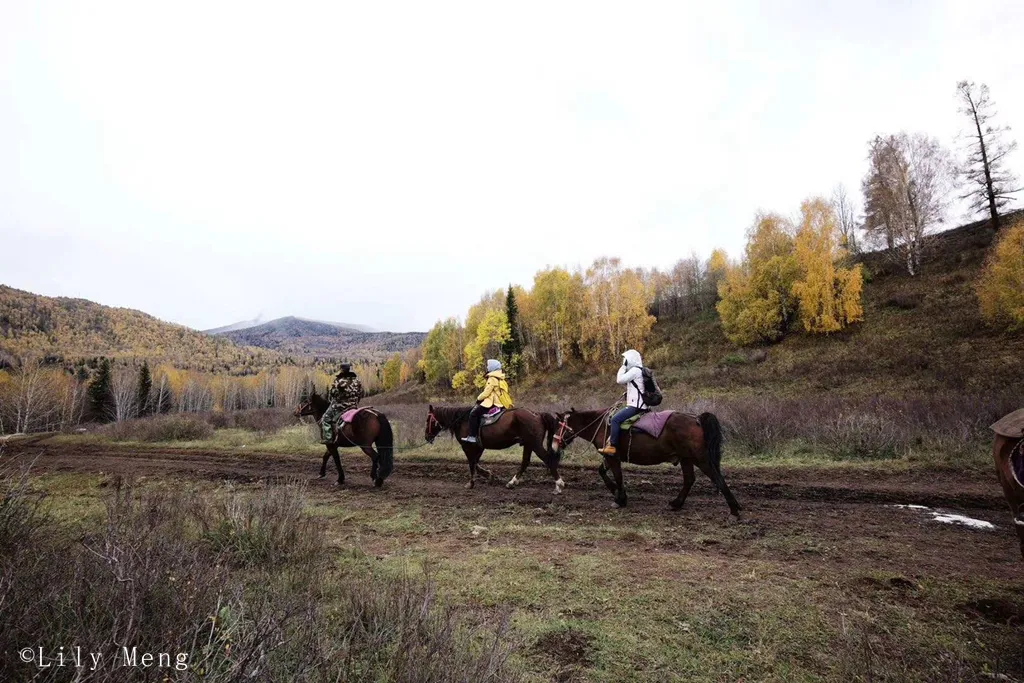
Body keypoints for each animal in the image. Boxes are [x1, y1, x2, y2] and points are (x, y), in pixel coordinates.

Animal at [425, 403, 565, 493]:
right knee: (525, 462)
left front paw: (471, 483)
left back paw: (559, 484)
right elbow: (476, 463)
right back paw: (512, 482)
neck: (462, 420)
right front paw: (489, 475)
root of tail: (538, 414)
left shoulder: (468, 447)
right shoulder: (479, 447)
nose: (426, 437)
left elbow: (471, 464)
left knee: (548, 459)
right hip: (528, 444)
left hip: (535, 444)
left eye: (428, 420)